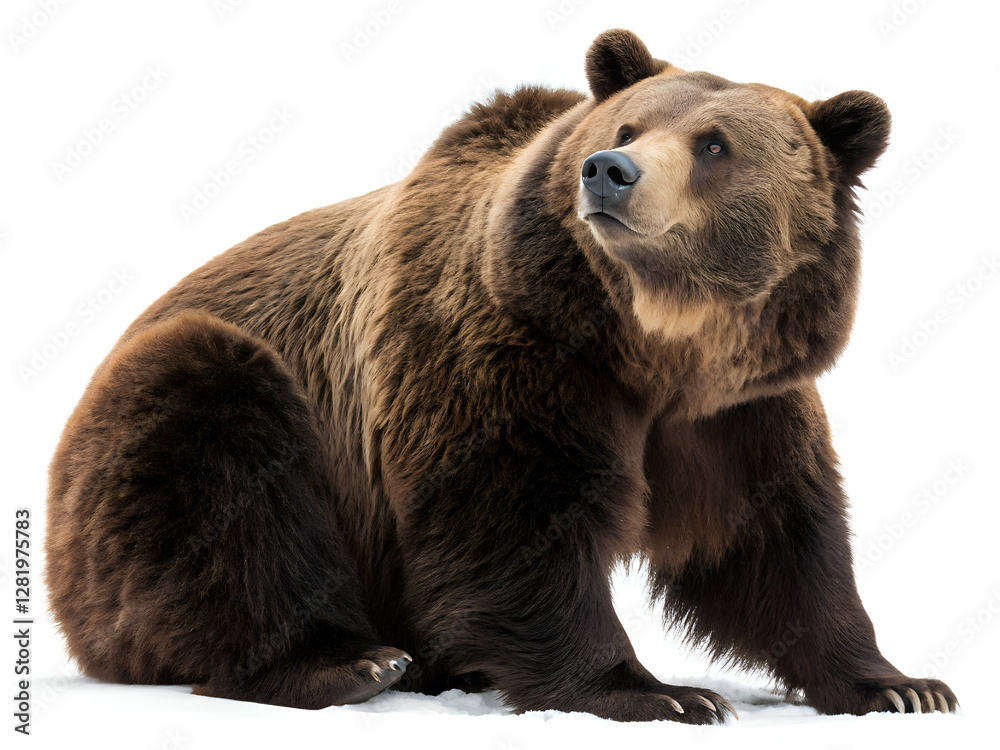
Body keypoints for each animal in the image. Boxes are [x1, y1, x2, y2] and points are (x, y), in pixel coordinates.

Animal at [45, 29, 958, 723]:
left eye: (714, 145)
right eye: (629, 125)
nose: (610, 171)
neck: (655, 344)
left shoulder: (739, 409)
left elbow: (777, 539)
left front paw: (902, 684)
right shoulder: (510, 352)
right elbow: (517, 515)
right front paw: (657, 692)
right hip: (173, 430)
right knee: (217, 457)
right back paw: (350, 663)